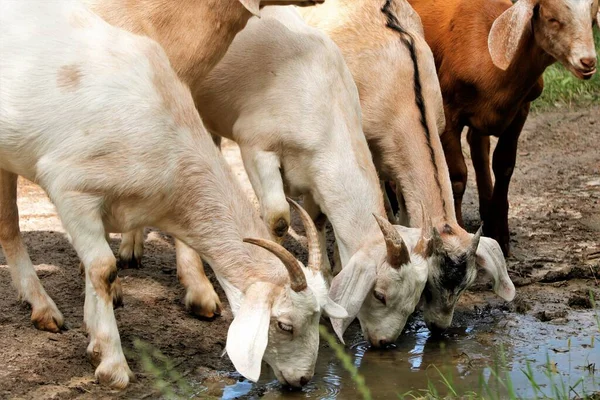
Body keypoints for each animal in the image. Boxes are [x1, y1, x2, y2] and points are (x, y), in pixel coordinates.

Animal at [0, 0, 344, 388]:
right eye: (285, 324)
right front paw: (114, 366)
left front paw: (96, 347)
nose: (301, 380)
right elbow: (103, 269)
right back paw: (44, 308)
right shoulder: (71, 188)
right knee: (9, 226)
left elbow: (93, 270)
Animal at [410, 0, 596, 256]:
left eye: (593, 19)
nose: (588, 61)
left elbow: (504, 165)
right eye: (552, 19)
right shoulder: (447, 111)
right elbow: (456, 175)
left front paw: (500, 233)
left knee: (478, 144)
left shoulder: (521, 109)